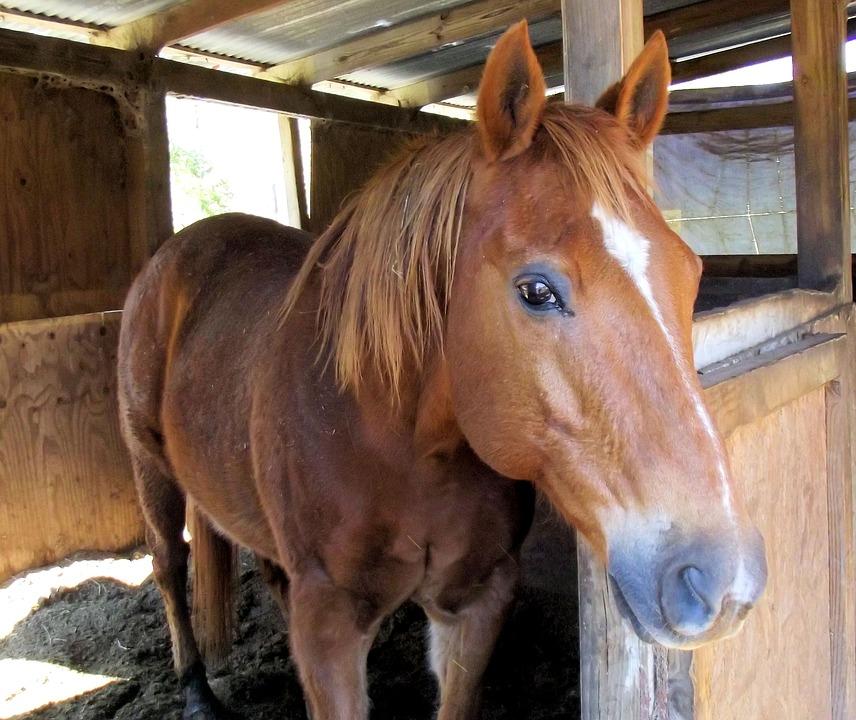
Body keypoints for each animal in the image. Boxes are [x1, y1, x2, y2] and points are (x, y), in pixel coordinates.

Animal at [117, 22, 764, 720]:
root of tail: (181, 247)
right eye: (536, 290)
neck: (396, 440)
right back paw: (196, 691)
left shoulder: (477, 601)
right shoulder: (328, 627)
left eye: (691, 273)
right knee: (168, 566)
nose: (721, 581)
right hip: (150, 469)